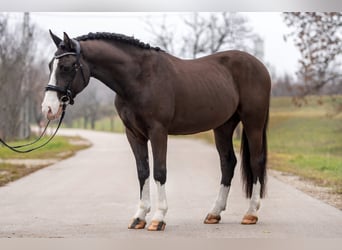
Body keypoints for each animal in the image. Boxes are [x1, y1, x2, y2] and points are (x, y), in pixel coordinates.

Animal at [42, 30, 270, 231]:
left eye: (67, 66)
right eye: (50, 65)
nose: (48, 109)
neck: (139, 78)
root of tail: (259, 65)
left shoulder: (158, 131)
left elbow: (159, 171)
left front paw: (158, 218)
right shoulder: (134, 134)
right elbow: (142, 171)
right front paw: (139, 217)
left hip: (253, 122)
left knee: (255, 161)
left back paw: (251, 213)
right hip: (223, 126)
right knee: (227, 163)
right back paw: (214, 213)